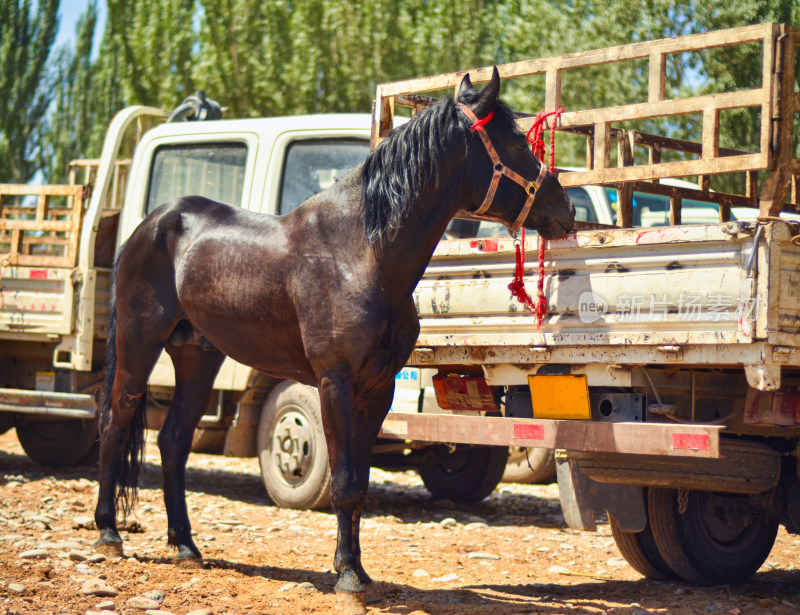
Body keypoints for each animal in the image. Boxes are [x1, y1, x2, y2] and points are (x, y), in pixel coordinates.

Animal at [94, 70, 572, 612]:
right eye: (514, 142)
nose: (565, 209)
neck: (361, 254)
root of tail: (153, 222)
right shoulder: (335, 384)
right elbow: (342, 482)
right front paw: (345, 577)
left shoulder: (379, 389)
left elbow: (359, 484)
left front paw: (360, 572)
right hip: (138, 343)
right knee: (115, 423)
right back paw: (109, 535)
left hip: (198, 356)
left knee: (173, 440)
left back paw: (186, 546)